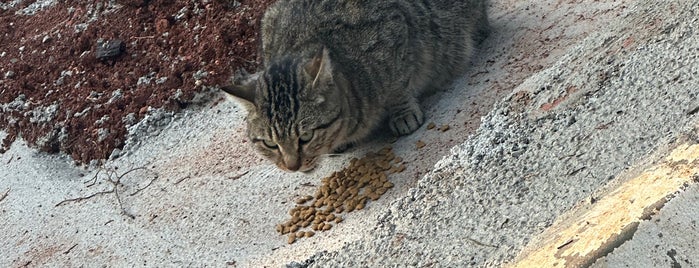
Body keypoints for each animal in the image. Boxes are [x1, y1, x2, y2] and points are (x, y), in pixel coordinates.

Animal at [223, 0, 486, 172]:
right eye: (269, 144)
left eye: (306, 136)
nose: (292, 167)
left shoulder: (393, 31)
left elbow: (398, 86)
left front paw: (403, 112)